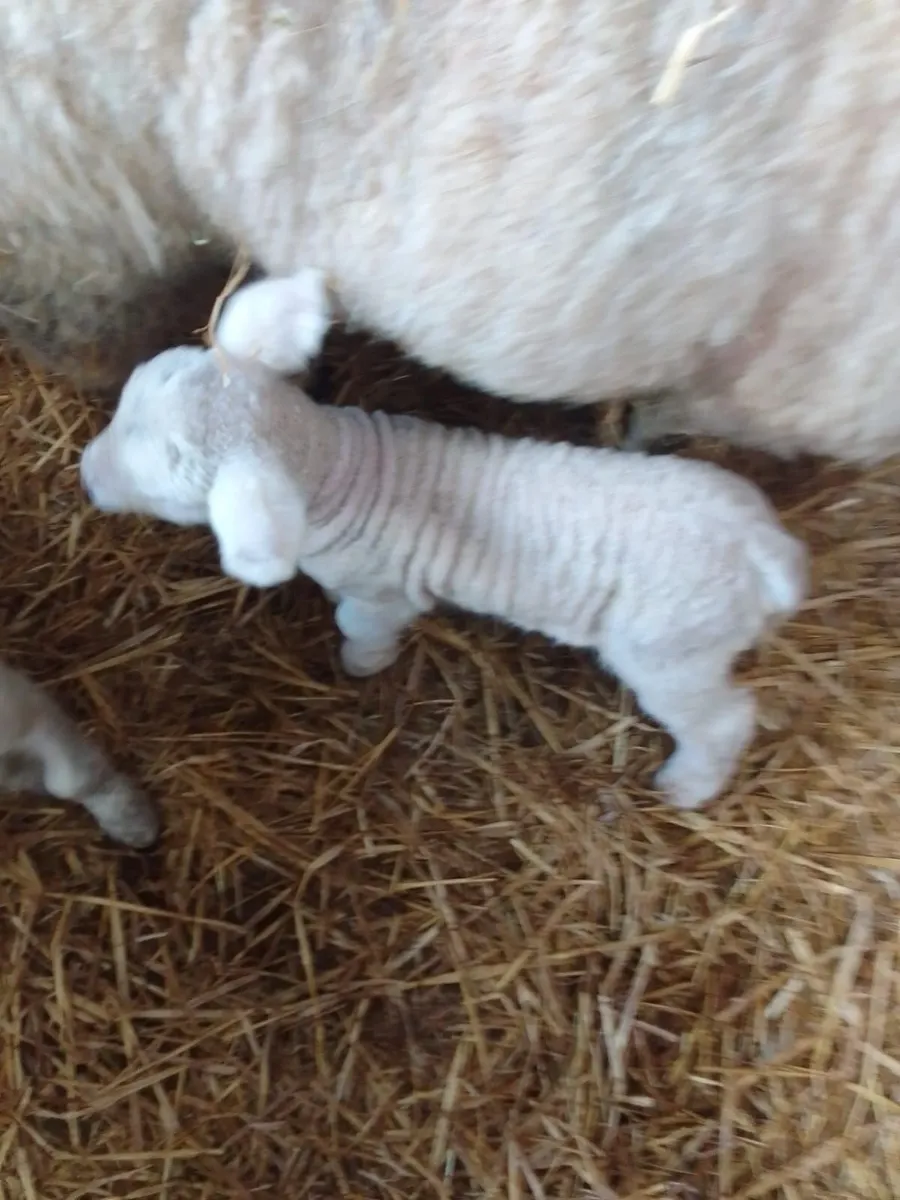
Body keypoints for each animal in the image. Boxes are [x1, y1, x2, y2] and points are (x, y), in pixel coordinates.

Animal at [79, 342, 808, 811]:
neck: (333, 467)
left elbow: (359, 623)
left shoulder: (383, 592)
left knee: (723, 719)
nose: (86, 473)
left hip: (672, 649)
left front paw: (361, 665)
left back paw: (691, 786)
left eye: (166, 485)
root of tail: (765, 548)